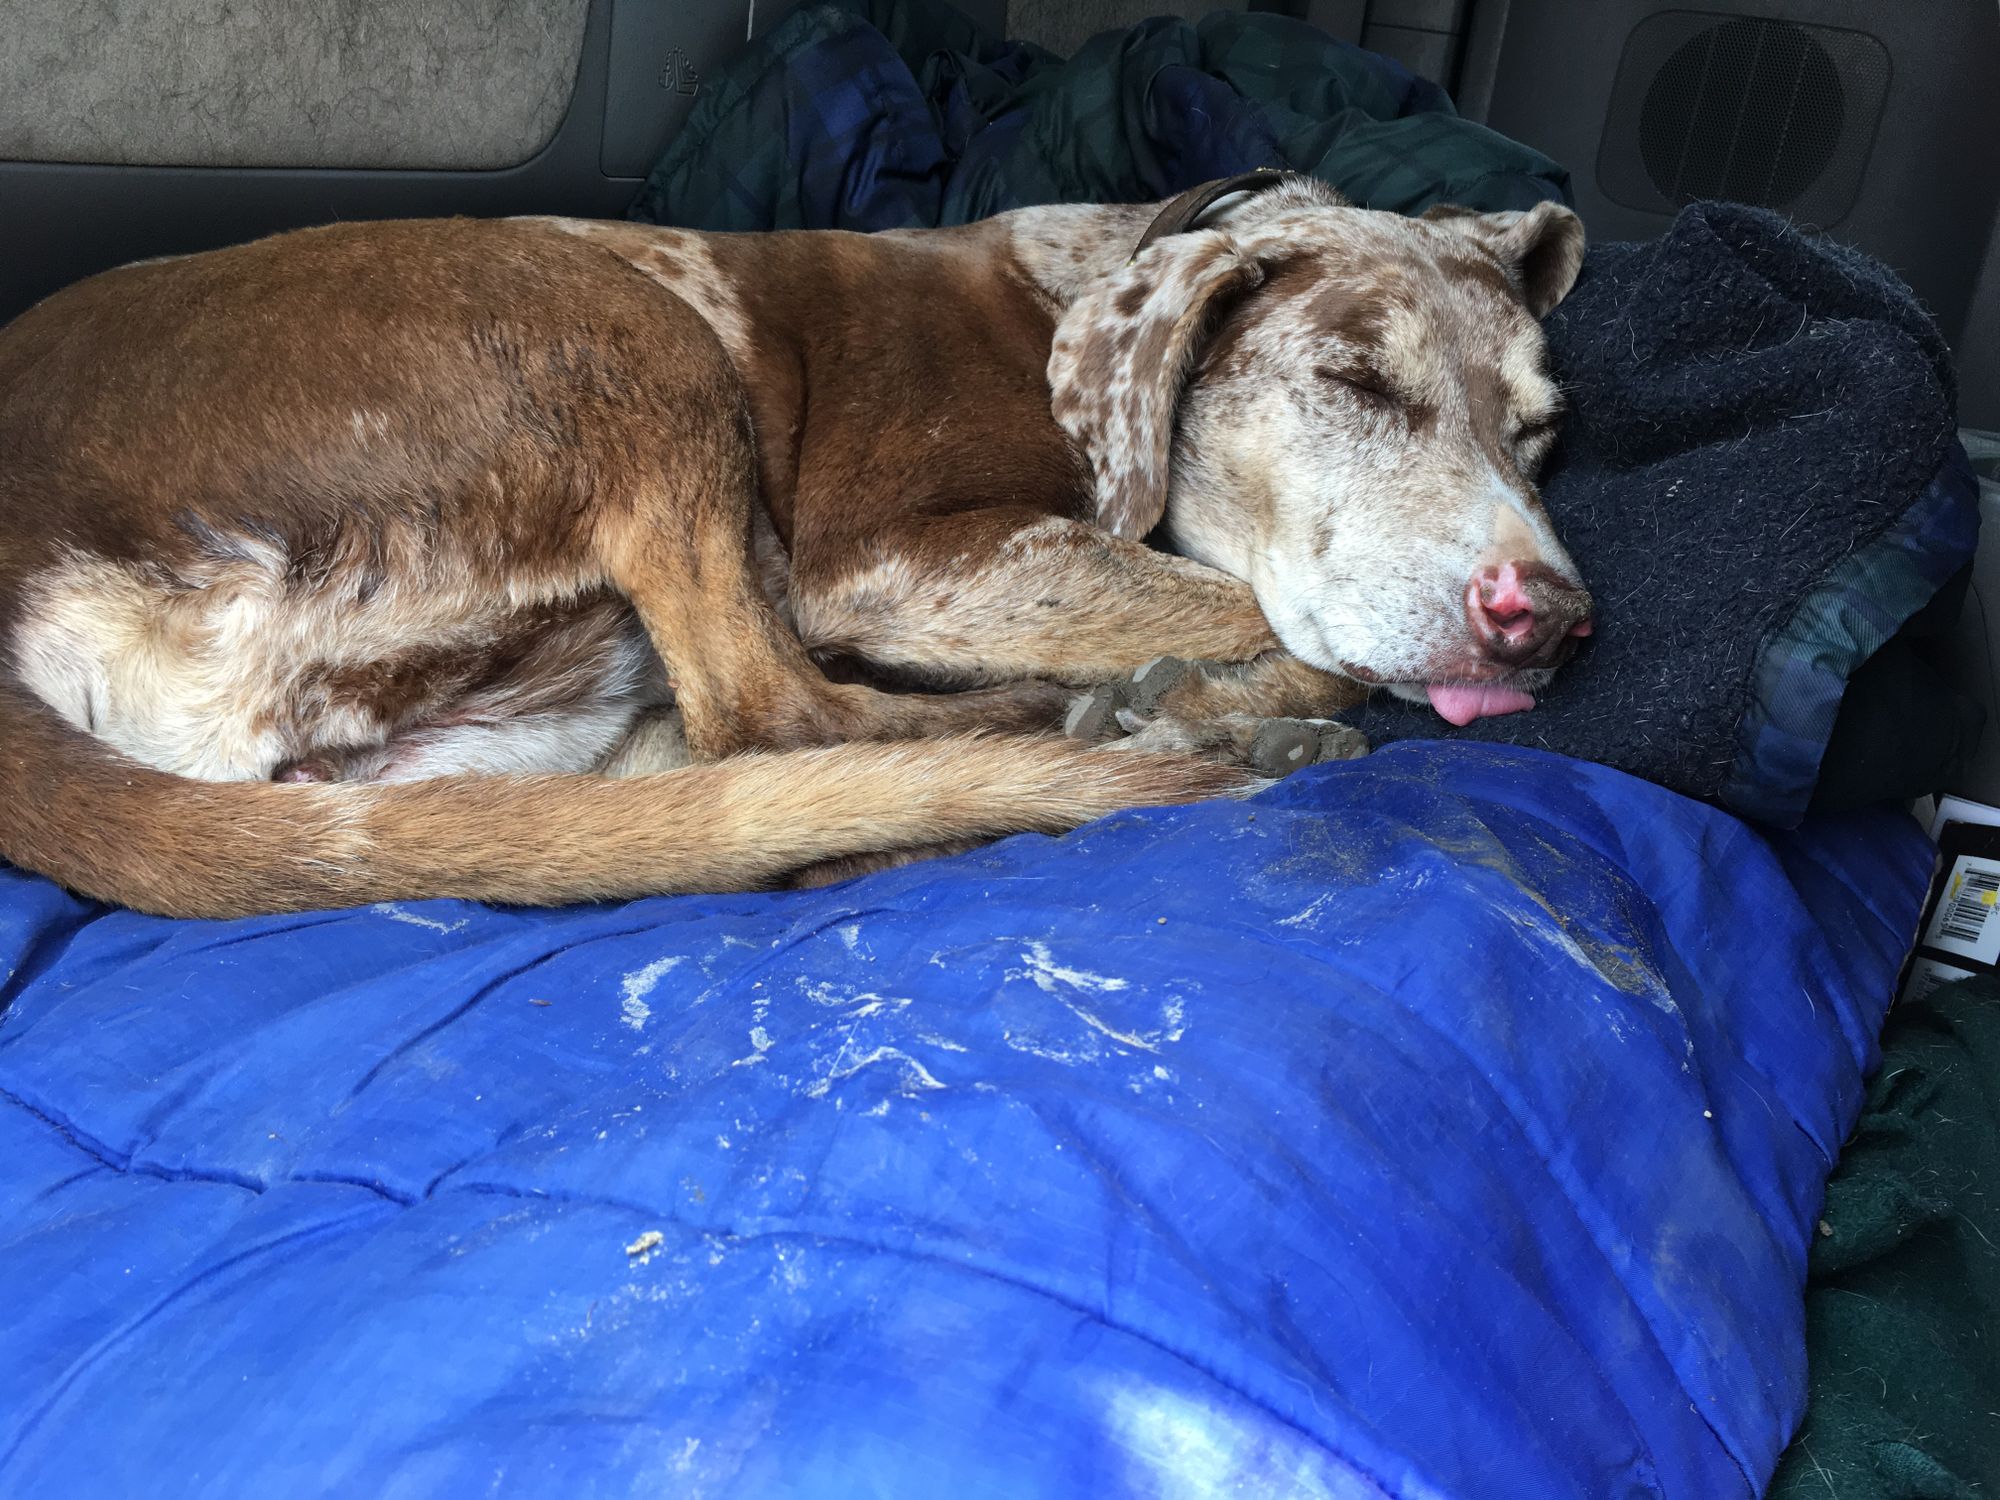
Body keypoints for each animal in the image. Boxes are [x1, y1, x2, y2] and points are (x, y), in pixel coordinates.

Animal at [0, 170, 1592, 912]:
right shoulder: (903, 561)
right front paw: (1222, 690)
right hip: (628, 331)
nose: (1554, 620)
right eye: (1353, 382)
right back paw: (1116, 730)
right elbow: (1263, 621)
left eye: (1541, 429)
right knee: (772, 715)